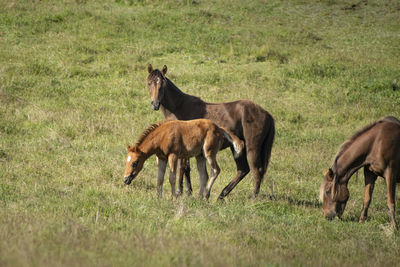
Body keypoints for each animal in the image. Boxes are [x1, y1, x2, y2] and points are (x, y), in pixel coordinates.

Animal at [146, 64, 276, 199]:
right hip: (238, 149)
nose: (155, 104)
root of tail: (266, 114)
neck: (179, 107)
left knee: (257, 170)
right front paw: (188, 191)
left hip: (252, 148)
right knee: (243, 170)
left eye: (162, 84)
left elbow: (182, 168)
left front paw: (180, 192)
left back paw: (252, 197)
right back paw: (221, 195)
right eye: (149, 83)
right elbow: (187, 168)